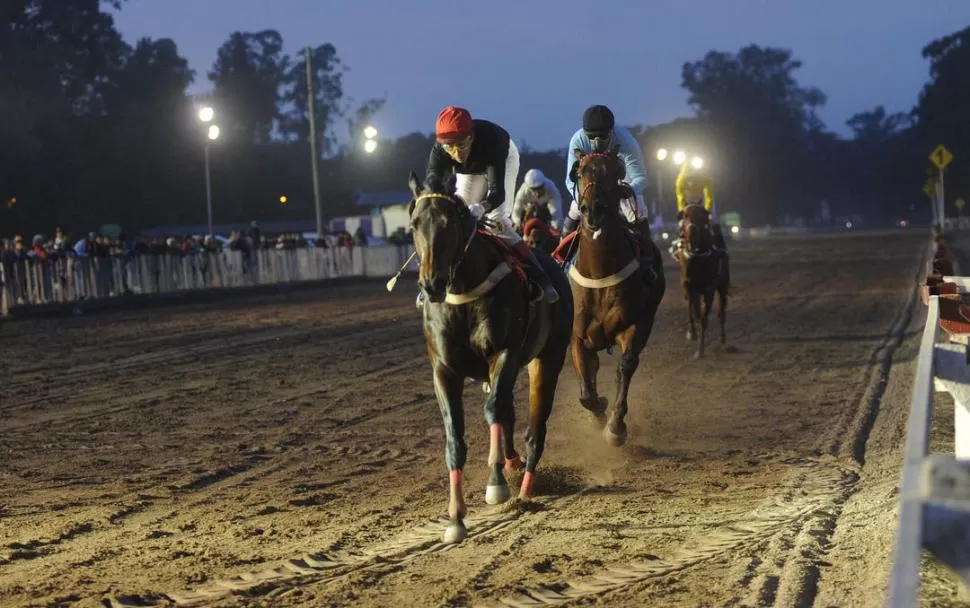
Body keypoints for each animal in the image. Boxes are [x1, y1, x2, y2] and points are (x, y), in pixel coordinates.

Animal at [404, 169, 572, 544]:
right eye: (414, 225)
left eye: (450, 223)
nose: (431, 284)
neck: (463, 292)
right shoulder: (443, 370)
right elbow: (455, 437)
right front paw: (455, 518)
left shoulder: (504, 353)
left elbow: (492, 410)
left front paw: (496, 485)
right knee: (509, 412)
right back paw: (512, 463)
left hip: (548, 359)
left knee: (534, 427)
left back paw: (524, 490)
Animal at [568, 151, 664, 446]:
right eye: (579, 172)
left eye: (615, 172)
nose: (593, 210)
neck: (600, 272)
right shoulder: (577, 335)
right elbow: (586, 392)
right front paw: (598, 409)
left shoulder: (636, 324)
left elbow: (626, 365)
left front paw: (615, 426)